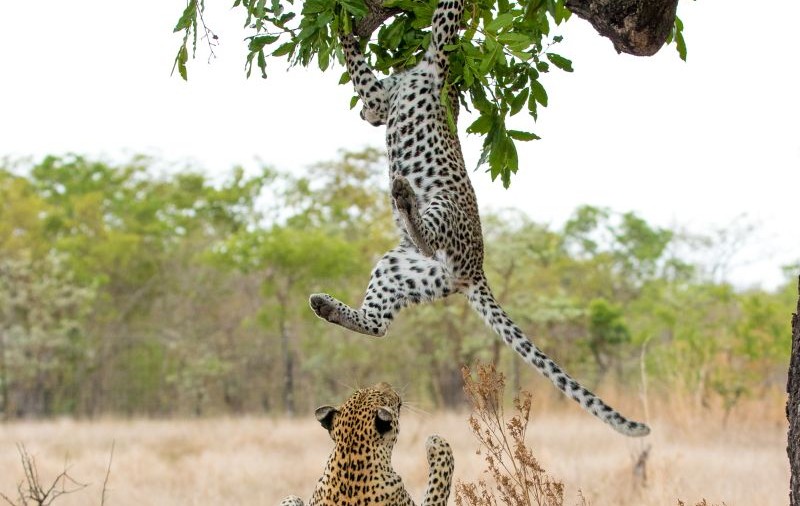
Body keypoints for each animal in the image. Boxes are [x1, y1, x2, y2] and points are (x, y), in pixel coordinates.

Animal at [308, 0, 650, 438]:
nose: (365, 116)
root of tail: (474, 269)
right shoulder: (388, 90)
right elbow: (361, 68)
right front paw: (346, 27)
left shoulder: (429, 56)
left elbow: (430, 23)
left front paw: (343, 22)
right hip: (401, 268)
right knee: (377, 322)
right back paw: (328, 306)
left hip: (441, 209)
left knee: (418, 245)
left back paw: (403, 200)